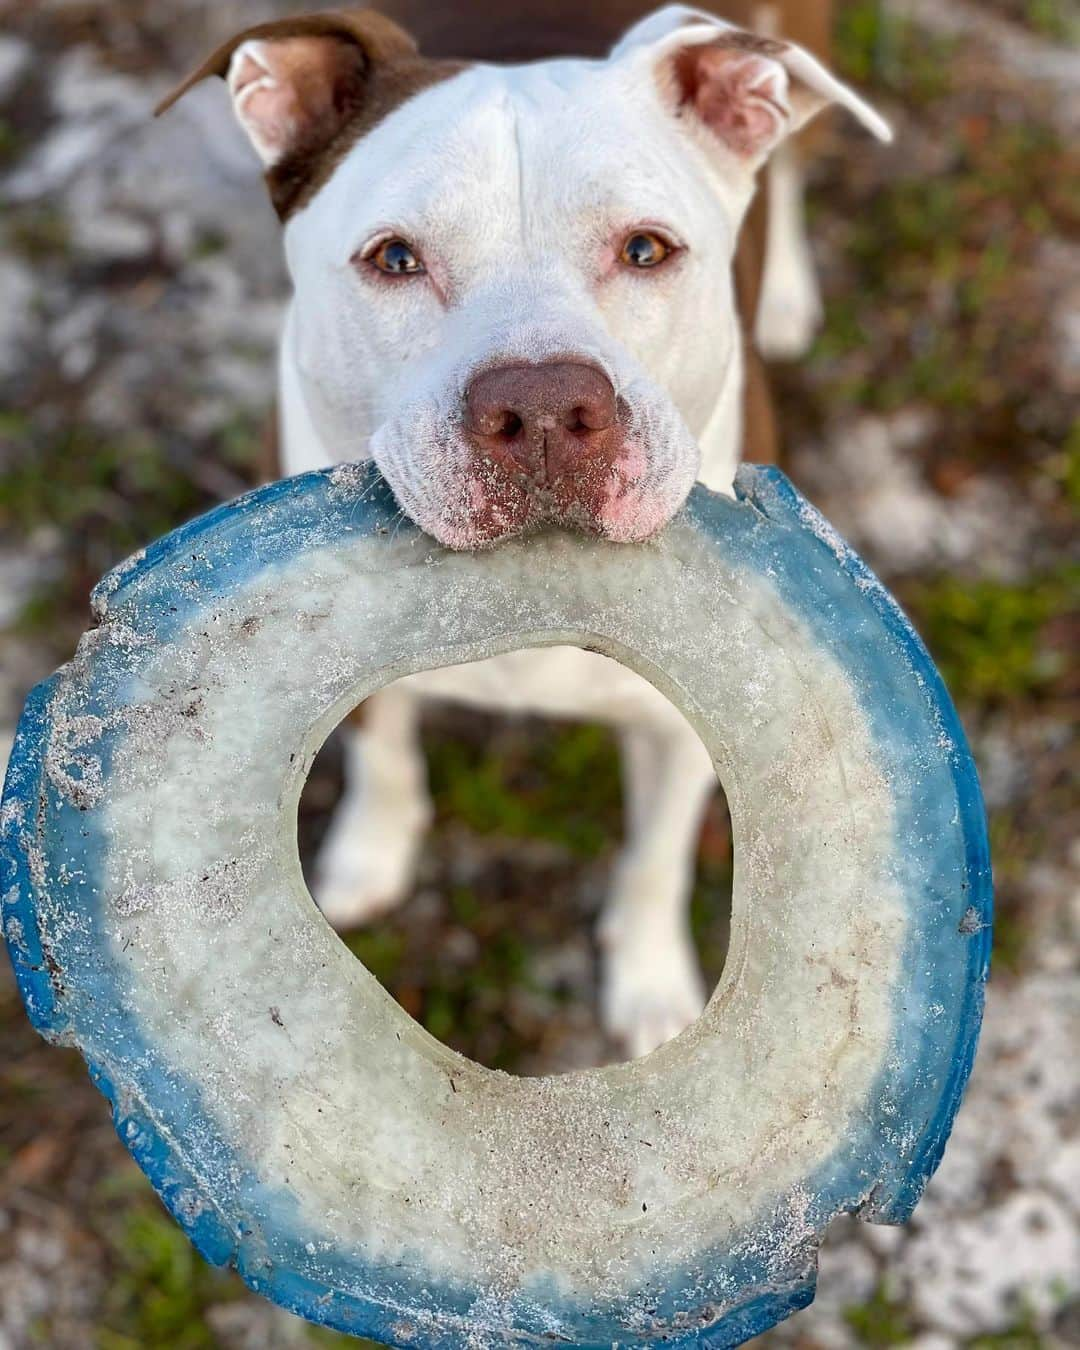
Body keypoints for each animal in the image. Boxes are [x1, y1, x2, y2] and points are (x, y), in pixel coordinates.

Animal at [157, 2, 885, 1053]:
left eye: (646, 251)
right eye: (395, 259)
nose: (542, 408)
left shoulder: (686, 723)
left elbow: (657, 856)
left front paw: (653, 988)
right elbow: (381, 744)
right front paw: (371, 853)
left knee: (788, 171)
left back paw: (785, 289)